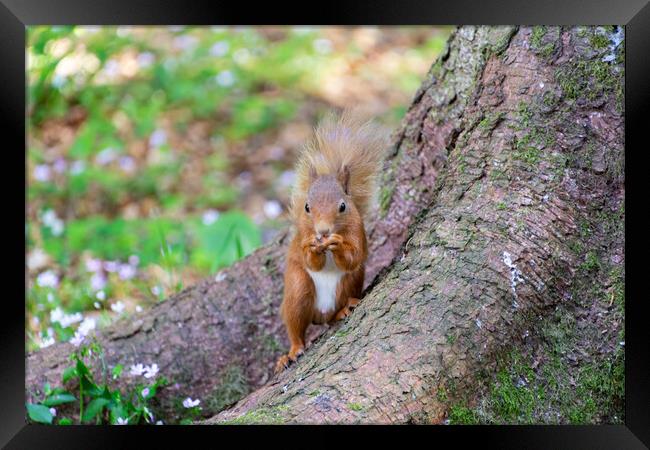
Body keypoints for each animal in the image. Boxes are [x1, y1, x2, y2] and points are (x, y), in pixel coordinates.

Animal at [274, 111, 384, 372]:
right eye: (307, 207)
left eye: (343, 206)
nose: (323, 231)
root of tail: (320, 313)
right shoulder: (303, 235)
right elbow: (310, 260)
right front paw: (314, 249)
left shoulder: (357, 230)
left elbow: (354, 256)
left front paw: (338, 245)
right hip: (298, 289)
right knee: (296, 328)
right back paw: (291, 353)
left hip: (349, 283)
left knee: (334, 312)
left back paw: (344, 309)